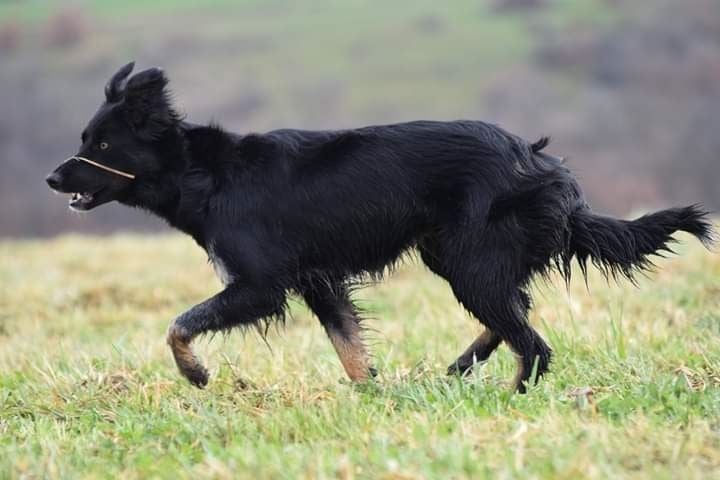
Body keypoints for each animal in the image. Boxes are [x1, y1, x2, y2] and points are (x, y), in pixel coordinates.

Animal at [46, 63, 716, 392]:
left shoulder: (260, 284)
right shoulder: (318, 281)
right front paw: (372, 395)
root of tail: (543, 163)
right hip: (454, 256)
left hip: (469, 262)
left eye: (101, 143)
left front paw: (197, 374)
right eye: (84, 138)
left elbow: (178, 325)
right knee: (515, 313)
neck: (203, 174)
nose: (52, 178)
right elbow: (350, 348)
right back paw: (460, 367)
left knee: (532, 342)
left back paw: (509, 394)